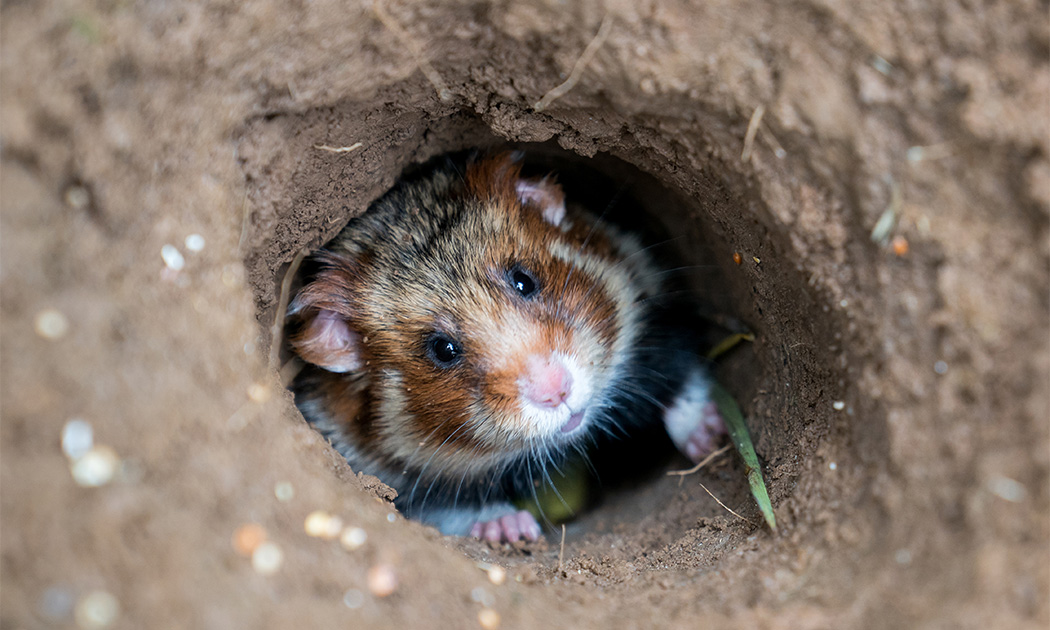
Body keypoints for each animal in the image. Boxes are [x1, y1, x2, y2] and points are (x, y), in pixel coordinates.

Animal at [287, 152, 726, 542]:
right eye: (442, 349)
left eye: (523, 280)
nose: (556, 391)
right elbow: (448, 506)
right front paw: (514, 529)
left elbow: (676, 375)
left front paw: (713, 439)